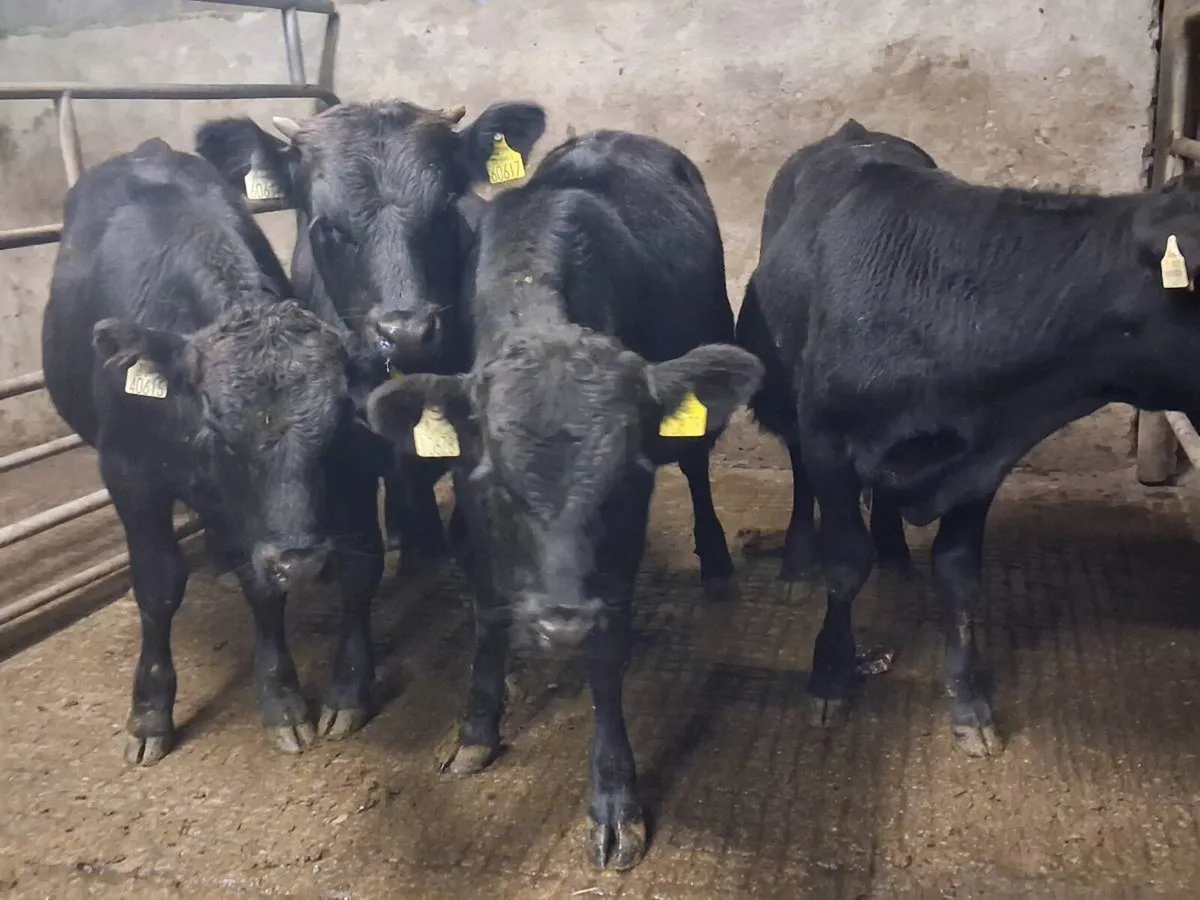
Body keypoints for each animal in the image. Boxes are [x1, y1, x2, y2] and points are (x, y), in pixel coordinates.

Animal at [42, 137, 390, 765]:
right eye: (220, 430)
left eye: (332, 430)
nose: (301, 561)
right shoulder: (129, 474)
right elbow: (157, 586)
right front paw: (149, 713)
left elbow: (263, 589)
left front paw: (281, 699)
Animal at [366, 130, 763, 871]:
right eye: (496, 480)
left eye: (623, 480)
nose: (561, 623)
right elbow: (487, 615)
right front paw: (477, 726)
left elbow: (607, 655)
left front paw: (615, 800)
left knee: (697, 469)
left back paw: (719, 564)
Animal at [739, 117, 1200, 759]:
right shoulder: (830, 438)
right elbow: (846, 563)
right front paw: (830, 675)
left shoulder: (981, 458)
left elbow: (957, 574)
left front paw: (969, 699)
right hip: (789, 391)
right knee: (801, 473)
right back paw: (796, 560)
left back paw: (895, 552)